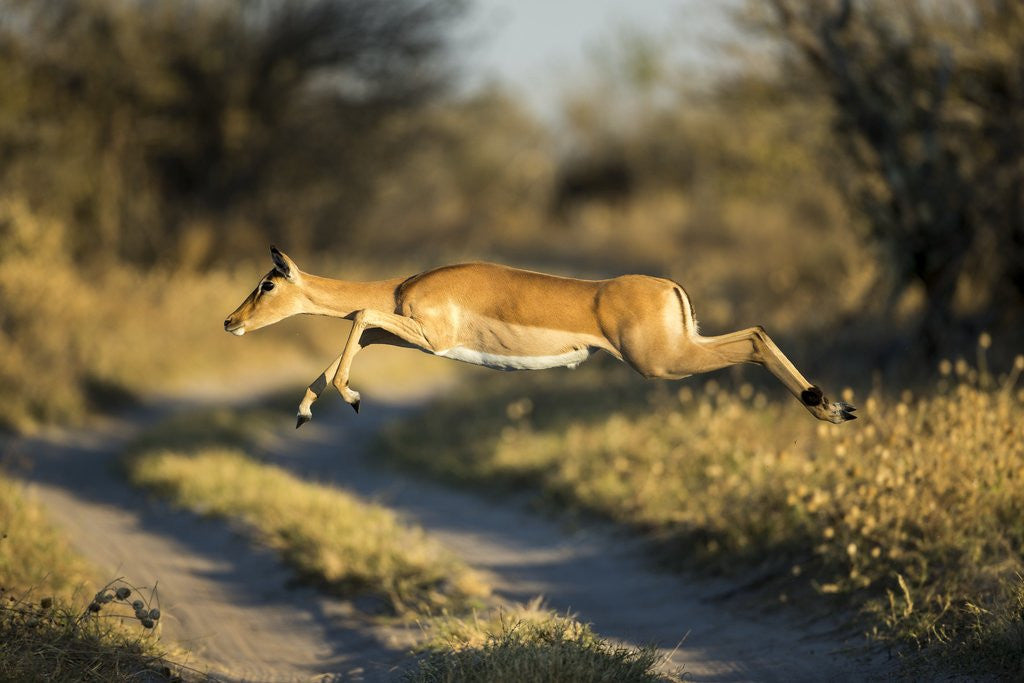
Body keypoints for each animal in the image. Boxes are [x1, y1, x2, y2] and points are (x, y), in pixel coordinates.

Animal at [224, 247, 857, 428]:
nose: (230, 322)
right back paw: (834, 406)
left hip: (662, 362)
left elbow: (357, 315)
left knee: (754, 338)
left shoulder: (429, 337)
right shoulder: (405, 336)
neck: (404, 285)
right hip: (679, 351)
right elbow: (354, 334)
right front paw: (308, 409)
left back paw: (828, 408)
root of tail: (669, 286)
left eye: (266, 283)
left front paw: (352, 398)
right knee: (757, 331)